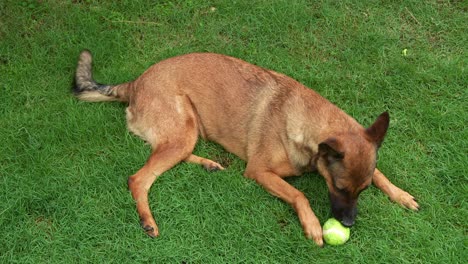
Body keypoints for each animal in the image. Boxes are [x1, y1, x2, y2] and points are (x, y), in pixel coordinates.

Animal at [74, 51, 420, 245]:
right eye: (339, 187)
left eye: (361, 190)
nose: (347, 225)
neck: (308, 121)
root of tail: (134, 83)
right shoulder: (259, 172)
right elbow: (299, 193)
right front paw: (312, 226)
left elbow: (380, 174)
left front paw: (401, 195)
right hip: (182, 129)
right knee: (139, 179)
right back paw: (148, 221)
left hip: (187, 132)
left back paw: (209, 164)